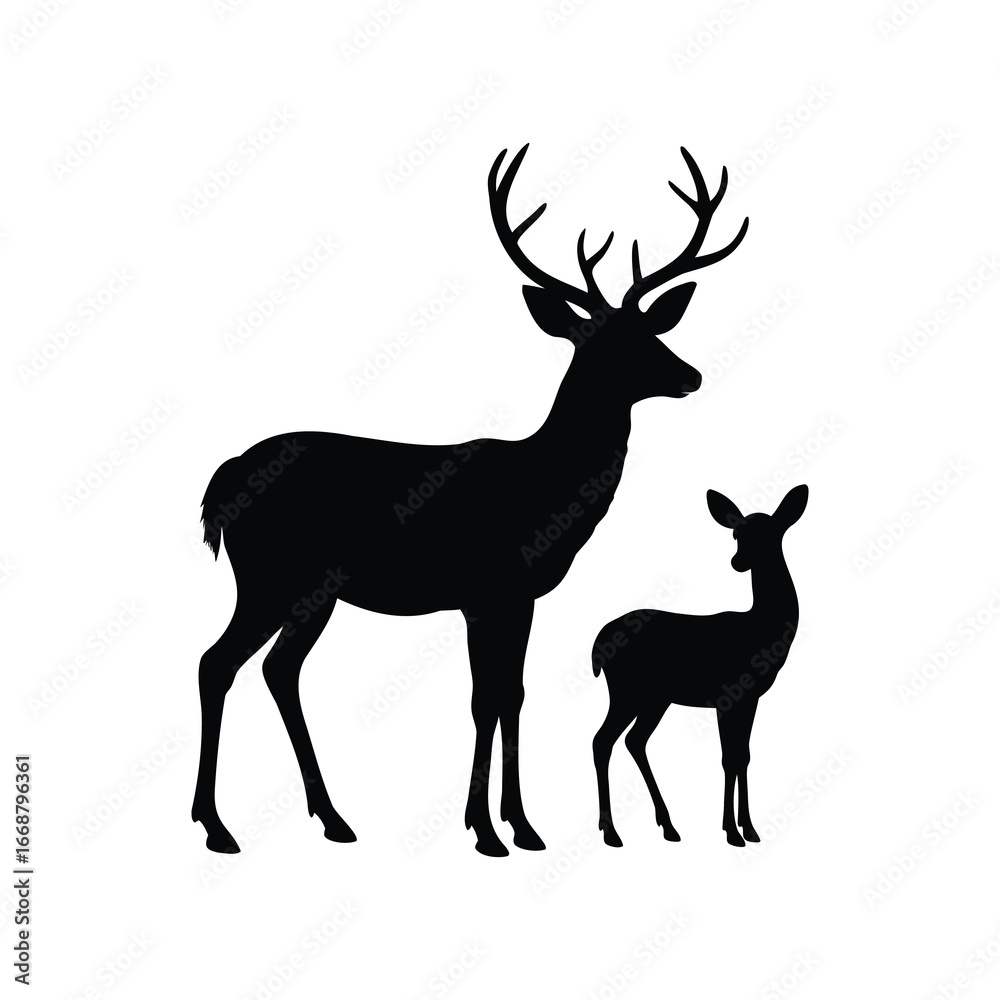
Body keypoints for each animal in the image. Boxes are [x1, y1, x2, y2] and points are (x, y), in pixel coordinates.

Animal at [192, 144, 749, 857]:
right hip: (269, 574)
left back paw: (331, 818)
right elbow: (486, 699)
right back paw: (217, 826)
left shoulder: (518, 597)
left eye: (651, 330)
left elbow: (511, 695)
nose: (690, 375)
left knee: (277, 670)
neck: (543, 489)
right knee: (218, 663)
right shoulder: (487, 589)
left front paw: (521, 825)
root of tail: (226, 476)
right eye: (600, 342)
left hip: (311, 589)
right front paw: (487, 829)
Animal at [592, 484, 808, 848]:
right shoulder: (728, 694)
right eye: (736, 533)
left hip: (655, 698)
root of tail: (597, 644)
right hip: (627, 690)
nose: (738, 561)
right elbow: (728, 758)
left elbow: (744, 755)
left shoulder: (751, 698)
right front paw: (732, 832)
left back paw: (667, 826)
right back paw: (612, 832)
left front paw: (749, 828)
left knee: (634, 740)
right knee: (602, 740)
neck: (761, 630)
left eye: (772, 532)